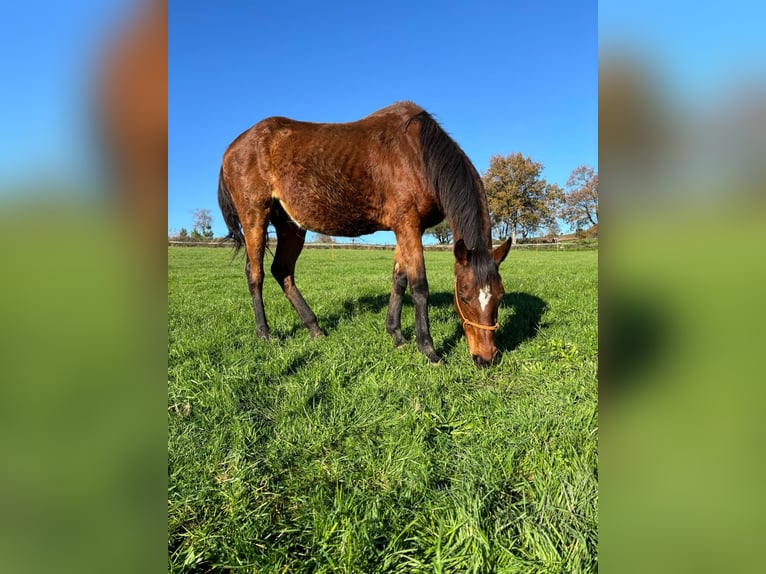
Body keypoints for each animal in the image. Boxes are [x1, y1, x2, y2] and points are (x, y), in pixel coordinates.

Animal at [219, 101, 512, 366]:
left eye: (500, 296)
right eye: (463, 296)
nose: (486, 358)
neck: (417, 154)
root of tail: (233, 147)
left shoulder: (405, 226)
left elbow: (399, 280)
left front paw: (396, 334)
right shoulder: (407, 223)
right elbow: (419, 286)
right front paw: (428, 349)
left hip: (290, 225)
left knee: (282, 271)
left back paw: (314, 328)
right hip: (255, 216)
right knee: (255, 273)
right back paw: (265, 333)